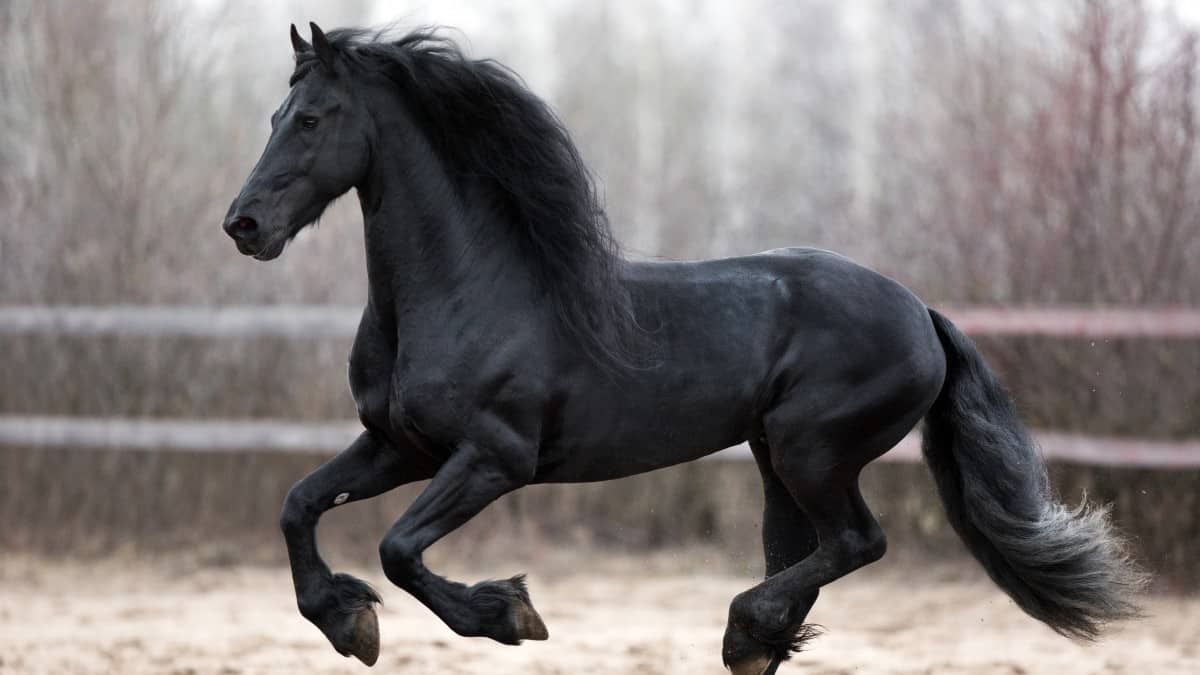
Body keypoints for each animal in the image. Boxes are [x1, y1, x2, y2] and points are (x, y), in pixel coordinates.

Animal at [225, 23, 1142, 672]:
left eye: (310, 119)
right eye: (272, 116)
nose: (245, 225)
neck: (464, 288)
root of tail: (920, 311)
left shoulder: (494, 457)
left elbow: (399, 549)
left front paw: (509, 612)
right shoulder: (399, 446)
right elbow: (299, 505)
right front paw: (346, 619)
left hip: (813, 451)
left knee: (856, 542)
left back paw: (744, 629)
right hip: (776, 456)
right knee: (809, 555)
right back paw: (756, 642)